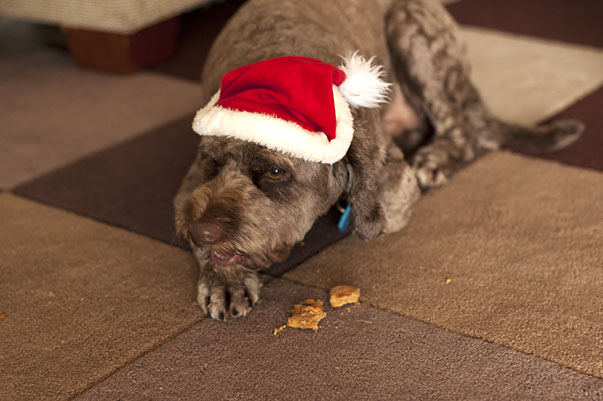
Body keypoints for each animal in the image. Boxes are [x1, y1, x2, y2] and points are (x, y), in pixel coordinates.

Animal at [175, 0, 584, 320]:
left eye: (275, 172)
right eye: (212, 162)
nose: (201, 231)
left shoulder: (389, 168)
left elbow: (380, 204)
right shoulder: (188, 188)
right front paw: (224, 281)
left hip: (412, 31)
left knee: (463, 134)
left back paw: (434, 158)